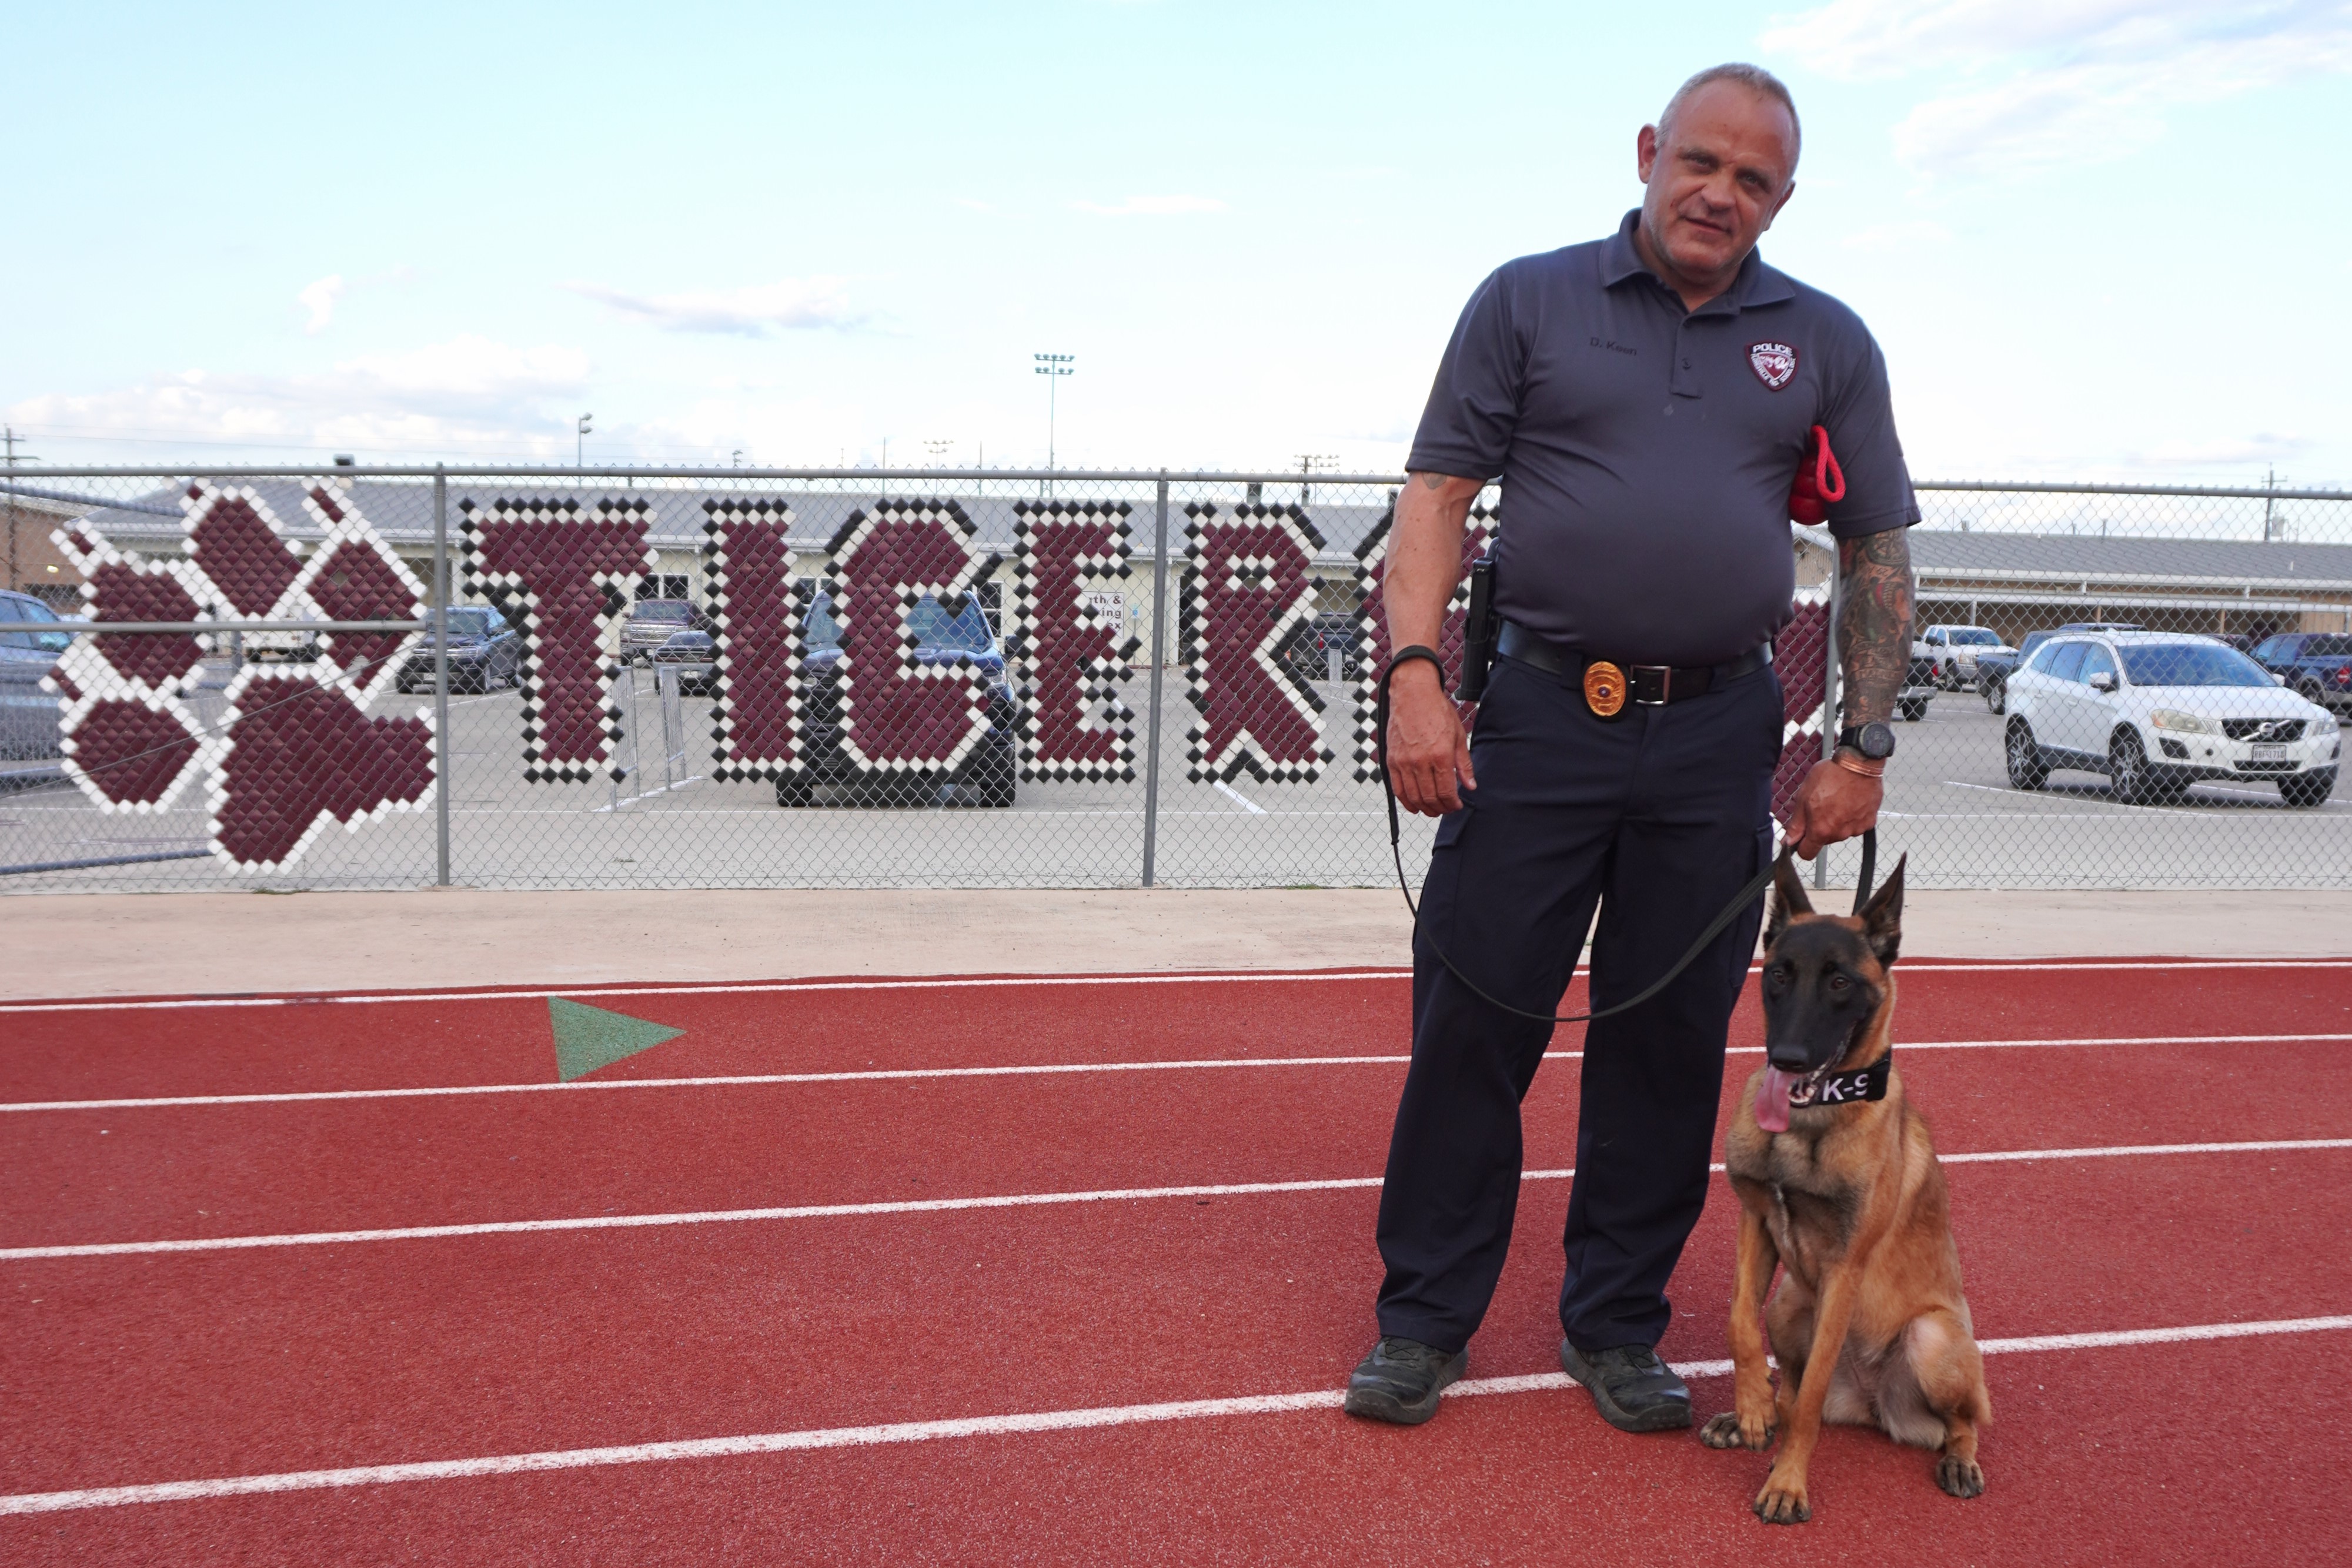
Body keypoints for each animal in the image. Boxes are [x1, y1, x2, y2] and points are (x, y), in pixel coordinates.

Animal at [1703, 851, 1994, 1523]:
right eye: (1778, 975)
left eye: (1839, 983)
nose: (1786, 1057)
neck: (1811, 1118)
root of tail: (1871, 1404)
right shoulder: (1757, 1223)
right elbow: (1738, 1322)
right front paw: (1751, 1404)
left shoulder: (1844, 1267)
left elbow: (1809, 1401)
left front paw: (1788, 1483)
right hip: (1790, 1304)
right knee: (1789, 1382)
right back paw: (1752, 1411)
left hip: (1931, 1339)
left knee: (1963, 1421)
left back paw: (1959, 1460)